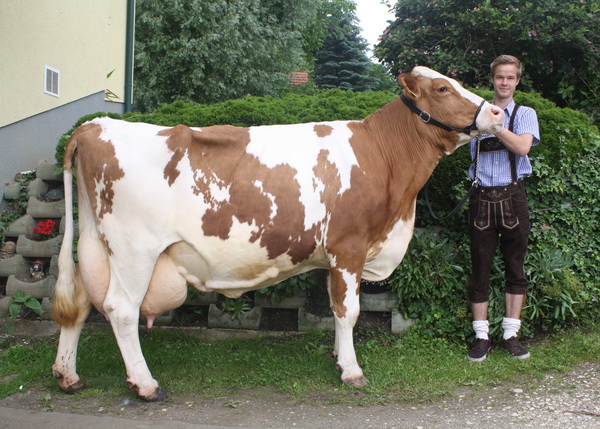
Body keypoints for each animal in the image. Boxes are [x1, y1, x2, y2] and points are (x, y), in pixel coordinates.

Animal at [51, 65, 504, 400]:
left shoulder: (335, 256)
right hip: (134, 250)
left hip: (93, 243)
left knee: (80, 304)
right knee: (121, 310)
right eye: (443, 87)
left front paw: (339, 357)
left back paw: (68, 375)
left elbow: (336, 308)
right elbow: (349, 310)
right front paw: (352, 371)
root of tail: (95, 125)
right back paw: (146, 385)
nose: (498, 113)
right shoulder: (349, 246)